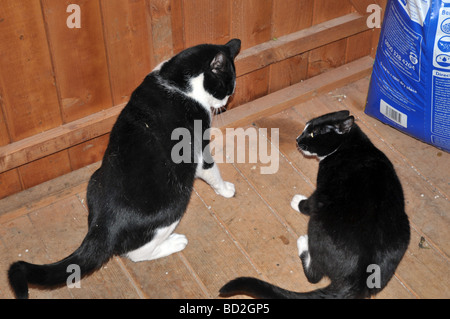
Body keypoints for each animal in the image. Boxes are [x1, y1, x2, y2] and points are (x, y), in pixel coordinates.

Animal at [8, 38, 241, 300]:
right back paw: (175, 242)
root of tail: (104, 225)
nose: (225, 102)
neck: (177, 80)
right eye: (226, 87)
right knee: (136, 253)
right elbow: (212, 171)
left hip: (94, 180)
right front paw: (226, 189)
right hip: (175, 202)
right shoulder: (198, 150)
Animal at [220, 111, 410, 298]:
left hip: (317, 224)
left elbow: (310, 202)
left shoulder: (323, 190)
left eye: (313, 134)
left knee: (314, 276)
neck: (349, 145)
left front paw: (298, 202)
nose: (297, 139)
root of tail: (359, 279)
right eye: (305, 129)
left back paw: (304, 243)